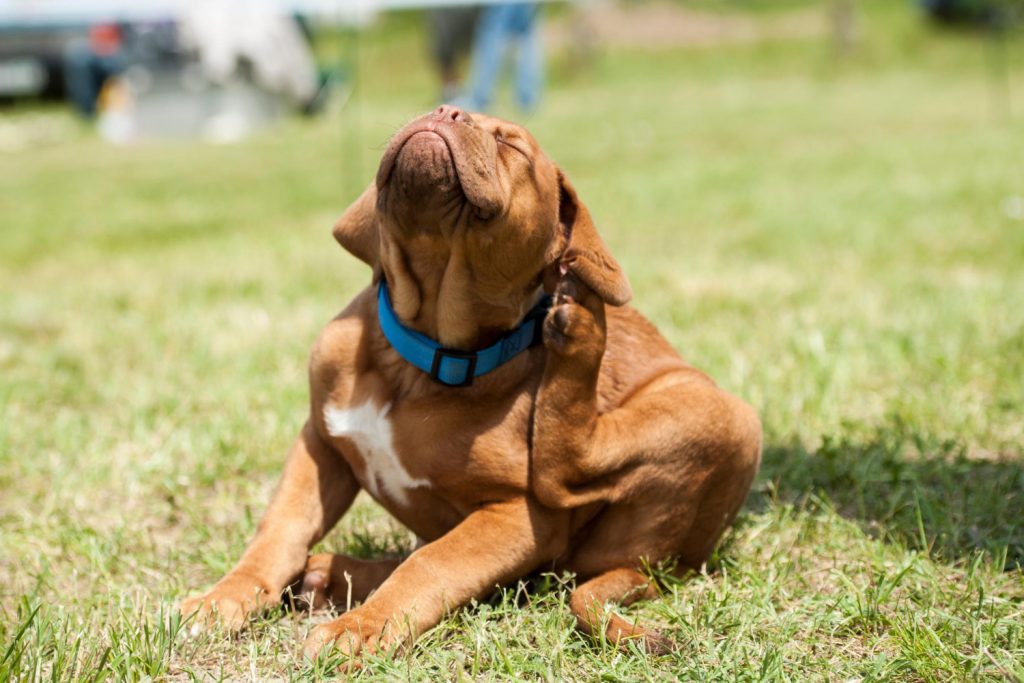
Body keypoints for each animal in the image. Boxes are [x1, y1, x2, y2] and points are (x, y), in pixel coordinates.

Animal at [182, 105, 761, 655]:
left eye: (512, 145)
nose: (445, 112)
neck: (419, 357)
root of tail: (661, 565)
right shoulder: (320, 443)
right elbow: (279, 530)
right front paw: (223, 598)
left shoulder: (519, 517)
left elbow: (433, 565)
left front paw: (361, 629)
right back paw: (330, 575)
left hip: (725, 416)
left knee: (567, 472)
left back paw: (582, 328)